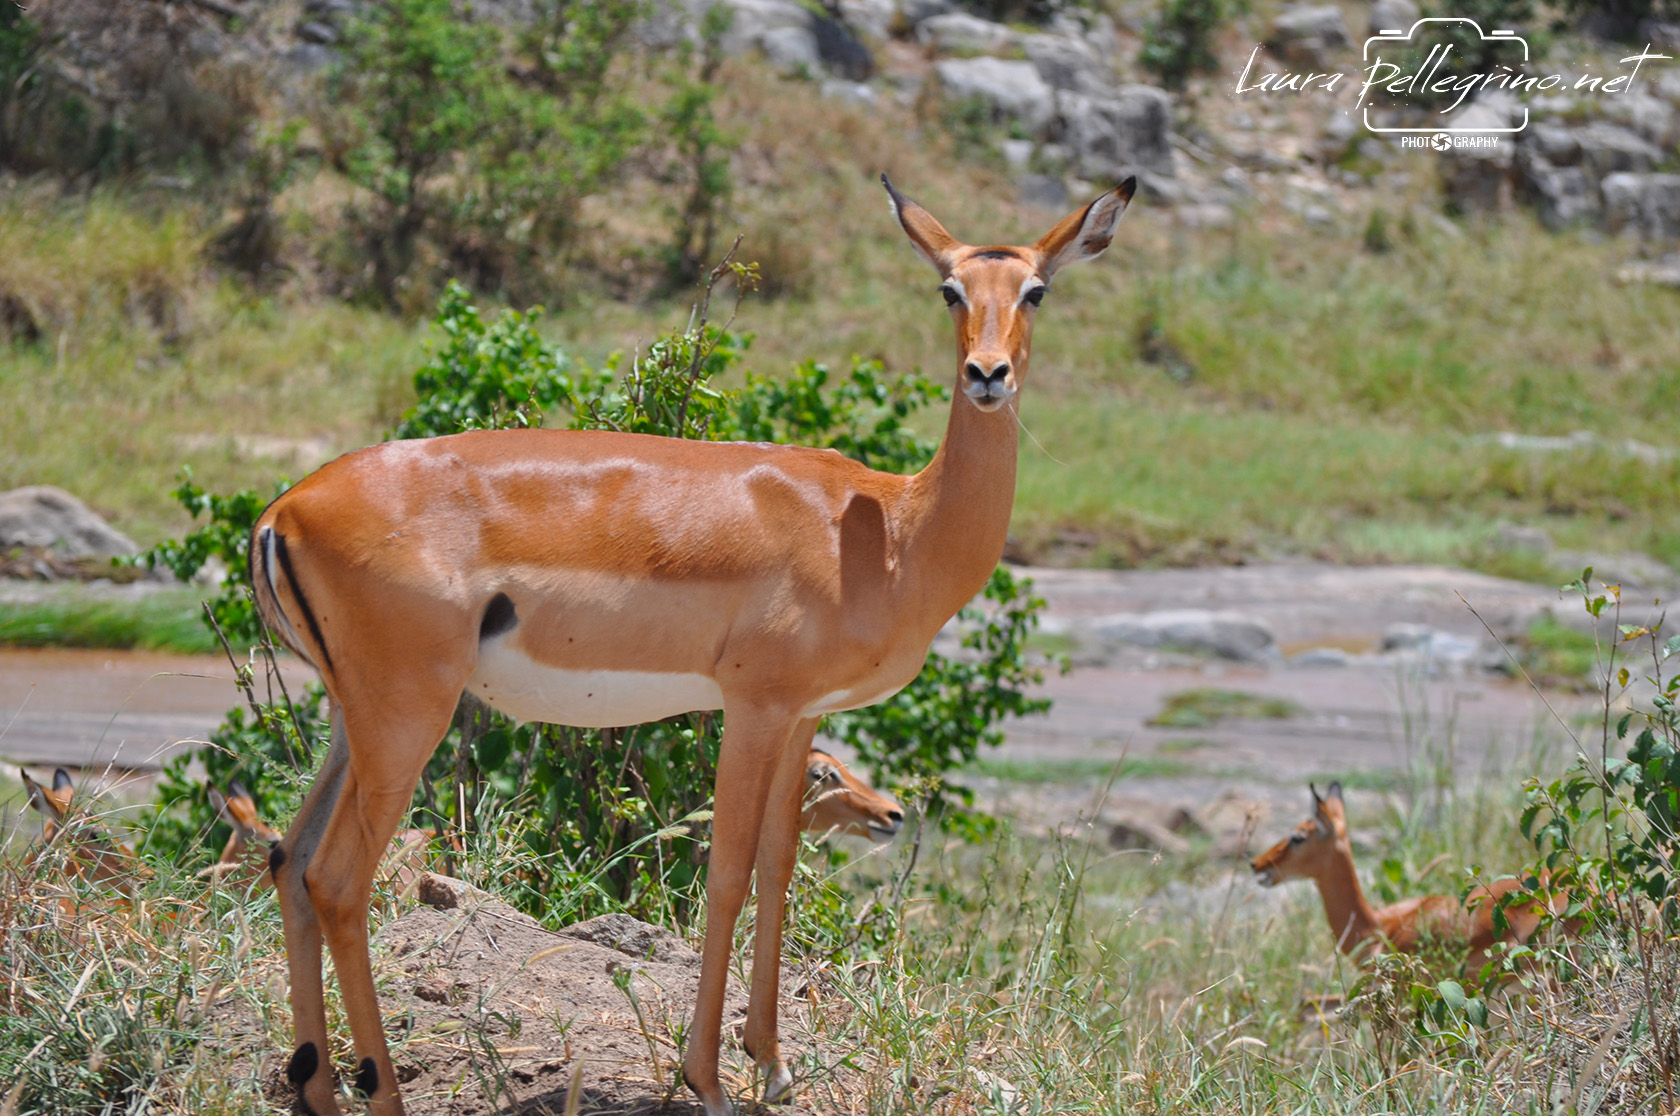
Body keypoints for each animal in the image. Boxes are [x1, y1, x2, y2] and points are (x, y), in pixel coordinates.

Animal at [248, 173, 1135, 1116]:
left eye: (1035, 290)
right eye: (950, 290)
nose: (988, 375)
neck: (889, 531)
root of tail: (283, 511)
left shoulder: (800, 718)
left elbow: (778, 869)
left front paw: (771, 1064)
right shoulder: (754, 707)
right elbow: (727, 873)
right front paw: (707, 1078)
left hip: (355, 720)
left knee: (287, 858)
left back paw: (316, 1087)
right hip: (408, 715)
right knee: (337, 880)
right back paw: (380, 1093)